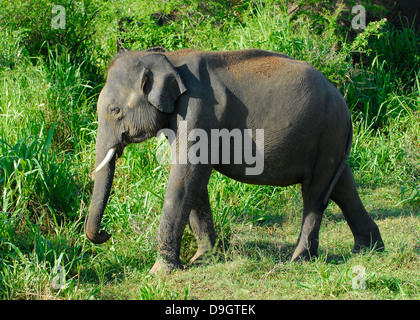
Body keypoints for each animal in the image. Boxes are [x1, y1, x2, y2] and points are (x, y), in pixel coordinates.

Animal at [83, 47, 384, 272]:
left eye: (114, 110)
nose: (107, 234)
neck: (169, 57)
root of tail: (344, 103)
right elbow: (194, 182)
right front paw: (203, 260)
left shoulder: (199, 110)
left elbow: (186, 177)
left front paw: (159, 273)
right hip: (331, 139)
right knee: (342, 188)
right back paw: (368, 250)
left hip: (327, 132)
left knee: (314, 195)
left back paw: (299, 259)